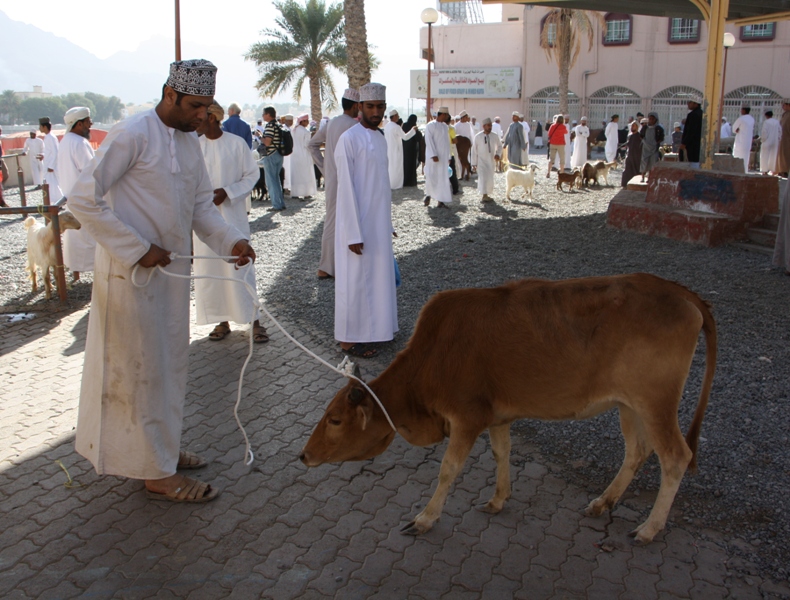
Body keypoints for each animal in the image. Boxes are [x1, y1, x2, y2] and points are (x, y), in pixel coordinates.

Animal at [302, 274, 716, 548]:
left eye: (335, 419)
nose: (304, 455)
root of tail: (678, 290)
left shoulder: (467, 418)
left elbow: (448, 470)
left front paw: (425, 518)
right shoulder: (497, 417)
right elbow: (503, 452)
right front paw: (499, 498)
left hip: (656, 403)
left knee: (675, 457)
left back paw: (649, 528)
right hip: (630, 406)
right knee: (637, 451)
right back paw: (604, 501)